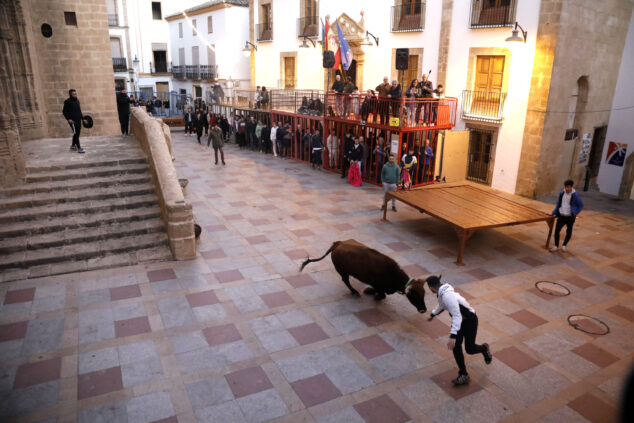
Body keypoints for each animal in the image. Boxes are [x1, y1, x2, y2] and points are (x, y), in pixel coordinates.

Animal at [298, 240, 428, 314]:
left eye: (423, 294)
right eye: (414, 295)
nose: (424, 310)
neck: (392, 273)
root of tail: (338, 243)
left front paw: (370, 291)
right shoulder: (378, 284)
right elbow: (382, 294)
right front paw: (375, 295)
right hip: (343, 271)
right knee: (346, 280)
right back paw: (355, 292)